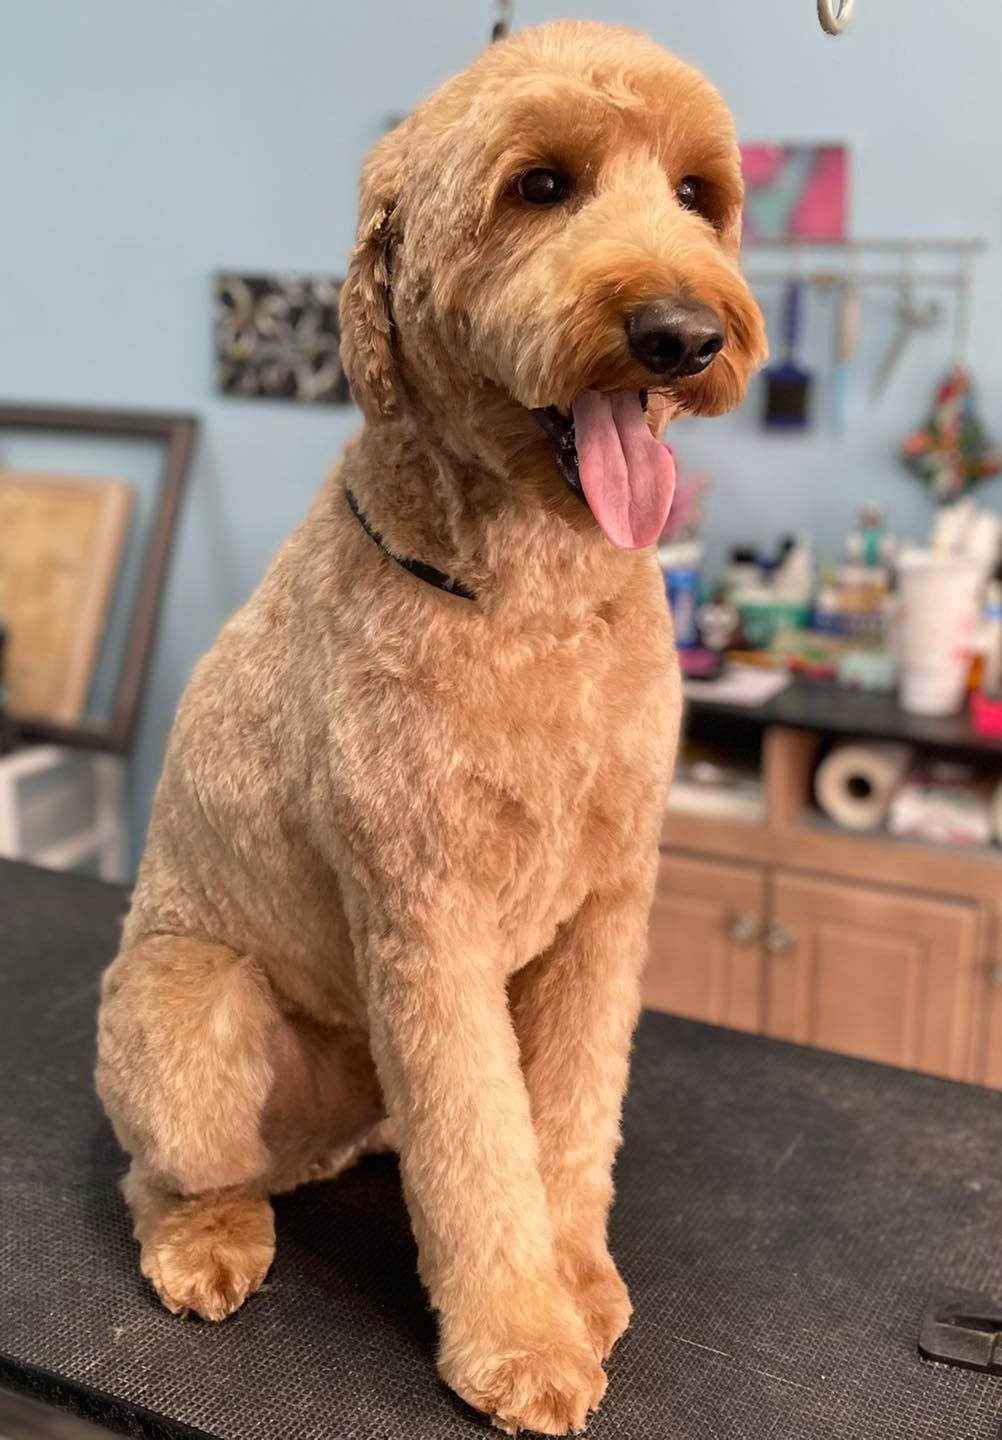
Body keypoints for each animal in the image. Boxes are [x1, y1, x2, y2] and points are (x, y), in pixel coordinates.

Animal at [96, 20, 764, 1435]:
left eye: (698, 195)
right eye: (541, 187)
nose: (683, 334)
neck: (534, 603)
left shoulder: (607, 911)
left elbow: (567, 1117)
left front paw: (576, 1279)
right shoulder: (428, 919)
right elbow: (480, 1142)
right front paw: (520, 1340)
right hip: (190, 1012)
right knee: (166, 1168)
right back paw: (207, 1239)